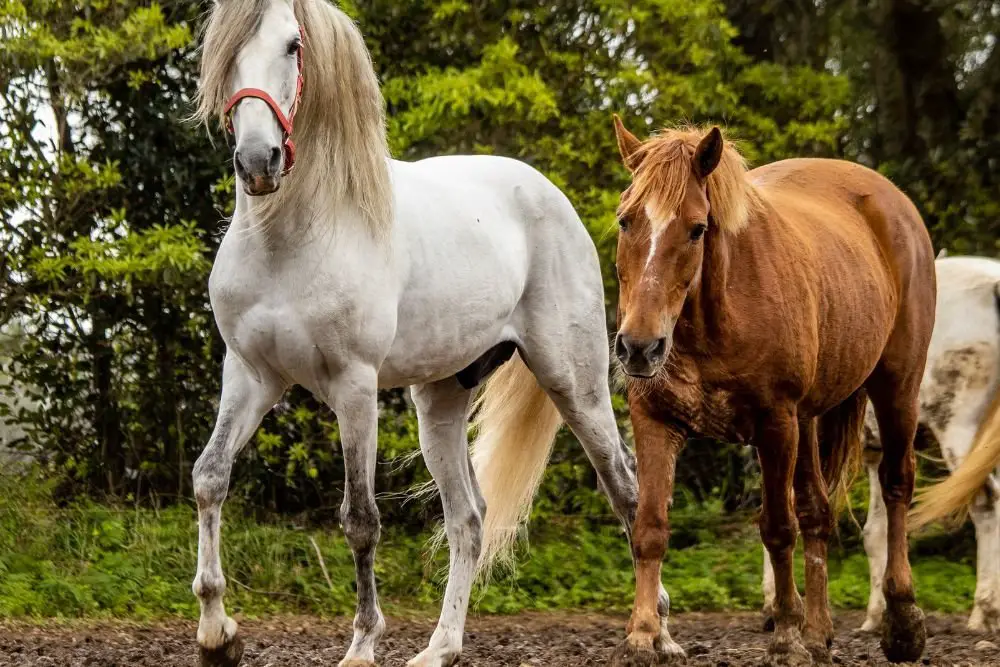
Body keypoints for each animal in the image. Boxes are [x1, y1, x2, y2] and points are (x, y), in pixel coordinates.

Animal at [191, 1, 684, 667]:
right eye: (223, 49)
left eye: (293, 45)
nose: (257, 162)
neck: (289, 239)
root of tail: (552, 198)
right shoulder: (250, 375)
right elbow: (210, 478)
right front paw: (217, 633)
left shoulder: (353, 386)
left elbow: (360, 519)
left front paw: (362, 644)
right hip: (441, 401)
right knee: (469, 518)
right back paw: (441, 647)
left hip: (574, 383)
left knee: (627, 490)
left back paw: (657, 633)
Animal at [608, 117, 936, 664]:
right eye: (625, 221)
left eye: (697, 228)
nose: (638, 347)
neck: (716, 317)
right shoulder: (654, 420)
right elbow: (650, 528)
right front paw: (640, 636)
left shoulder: (775, 425)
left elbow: (778, 529)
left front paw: (784, 637)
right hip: (810, 419)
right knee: (818, 512)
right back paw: (819, 633)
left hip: (896, 388)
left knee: (896, 485)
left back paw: (902, 620)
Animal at [764, 256, 1000, 636]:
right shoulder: (875, 455)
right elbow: (877, 532)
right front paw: (877, 614)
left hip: (959, 431)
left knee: (985, 503)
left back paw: (983, 611)